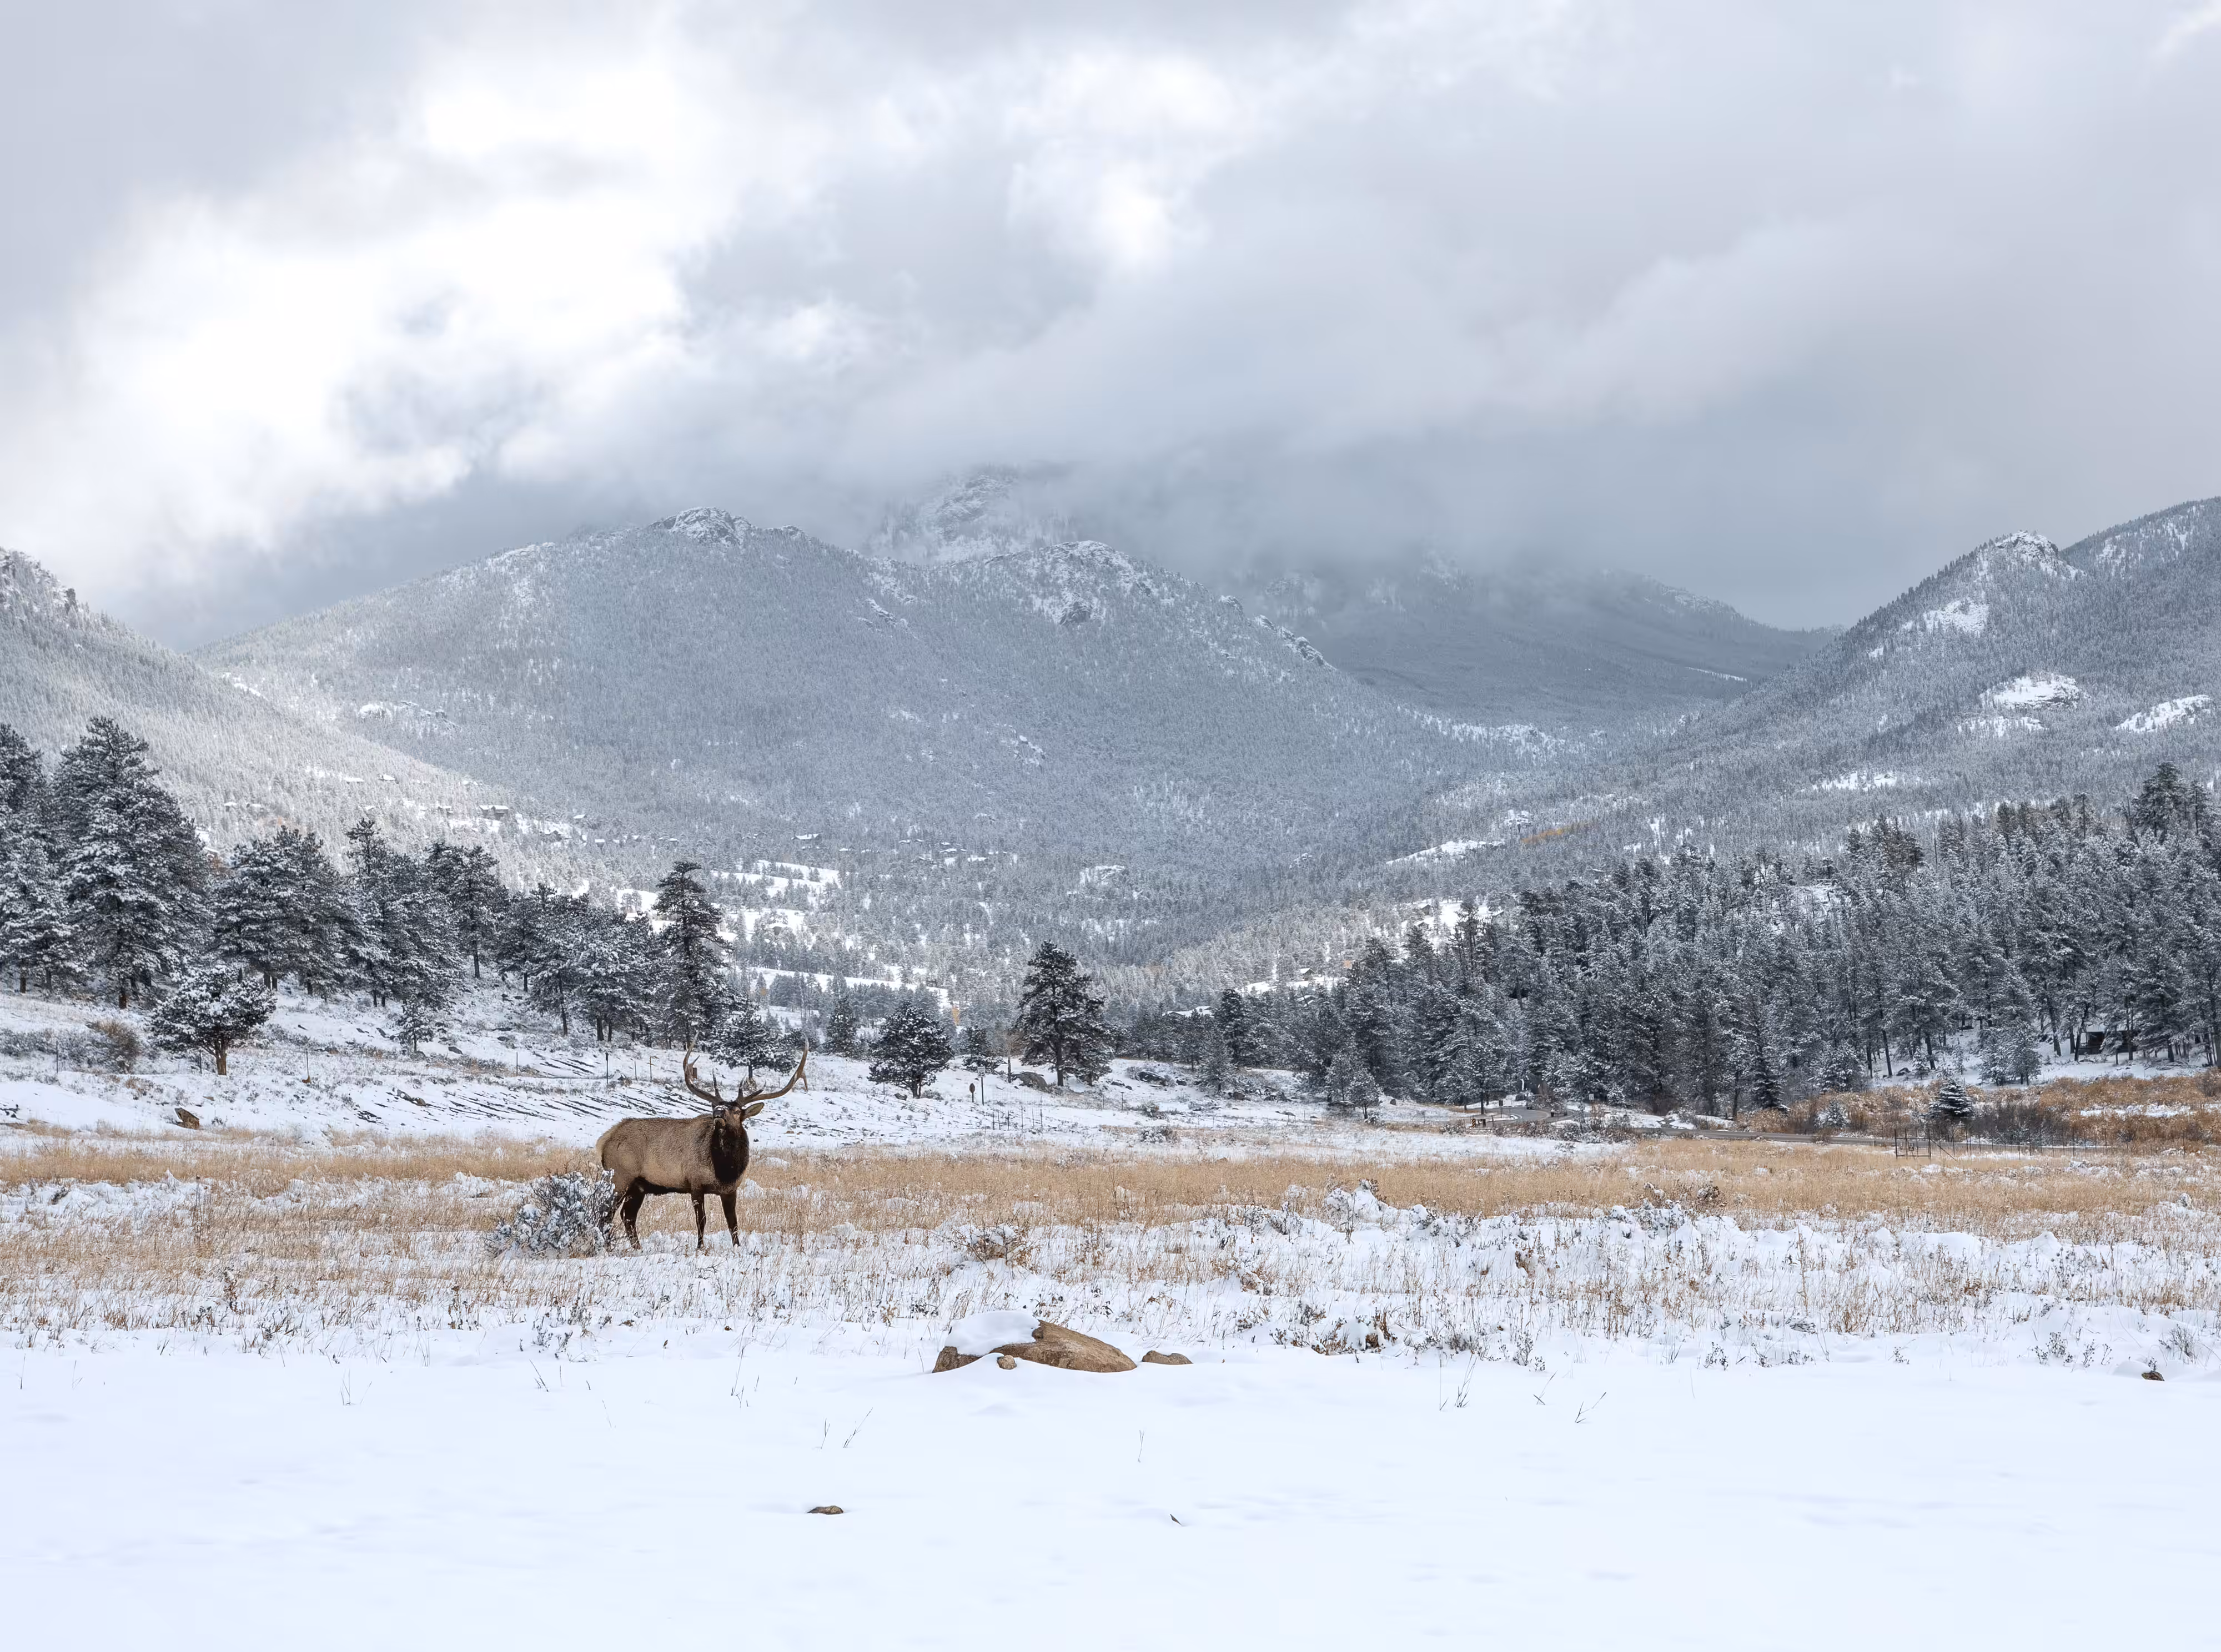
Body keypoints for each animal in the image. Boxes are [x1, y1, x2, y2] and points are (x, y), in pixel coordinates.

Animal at [595, 1048, 807, 1251]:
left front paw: (738, 1247)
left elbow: (733, 1222)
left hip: (638, 1185)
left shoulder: (732, 1188)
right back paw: (609, 1248)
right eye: (715, 1106)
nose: (719, 1112)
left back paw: (637, 1248)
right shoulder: (695, 1183)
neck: (725, 1169)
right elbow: (701, 1220)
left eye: (737, 1111)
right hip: (620, 1177)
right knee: (606, 1213)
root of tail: (605, 1140)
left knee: (628, 1216)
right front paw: (700, 1248)